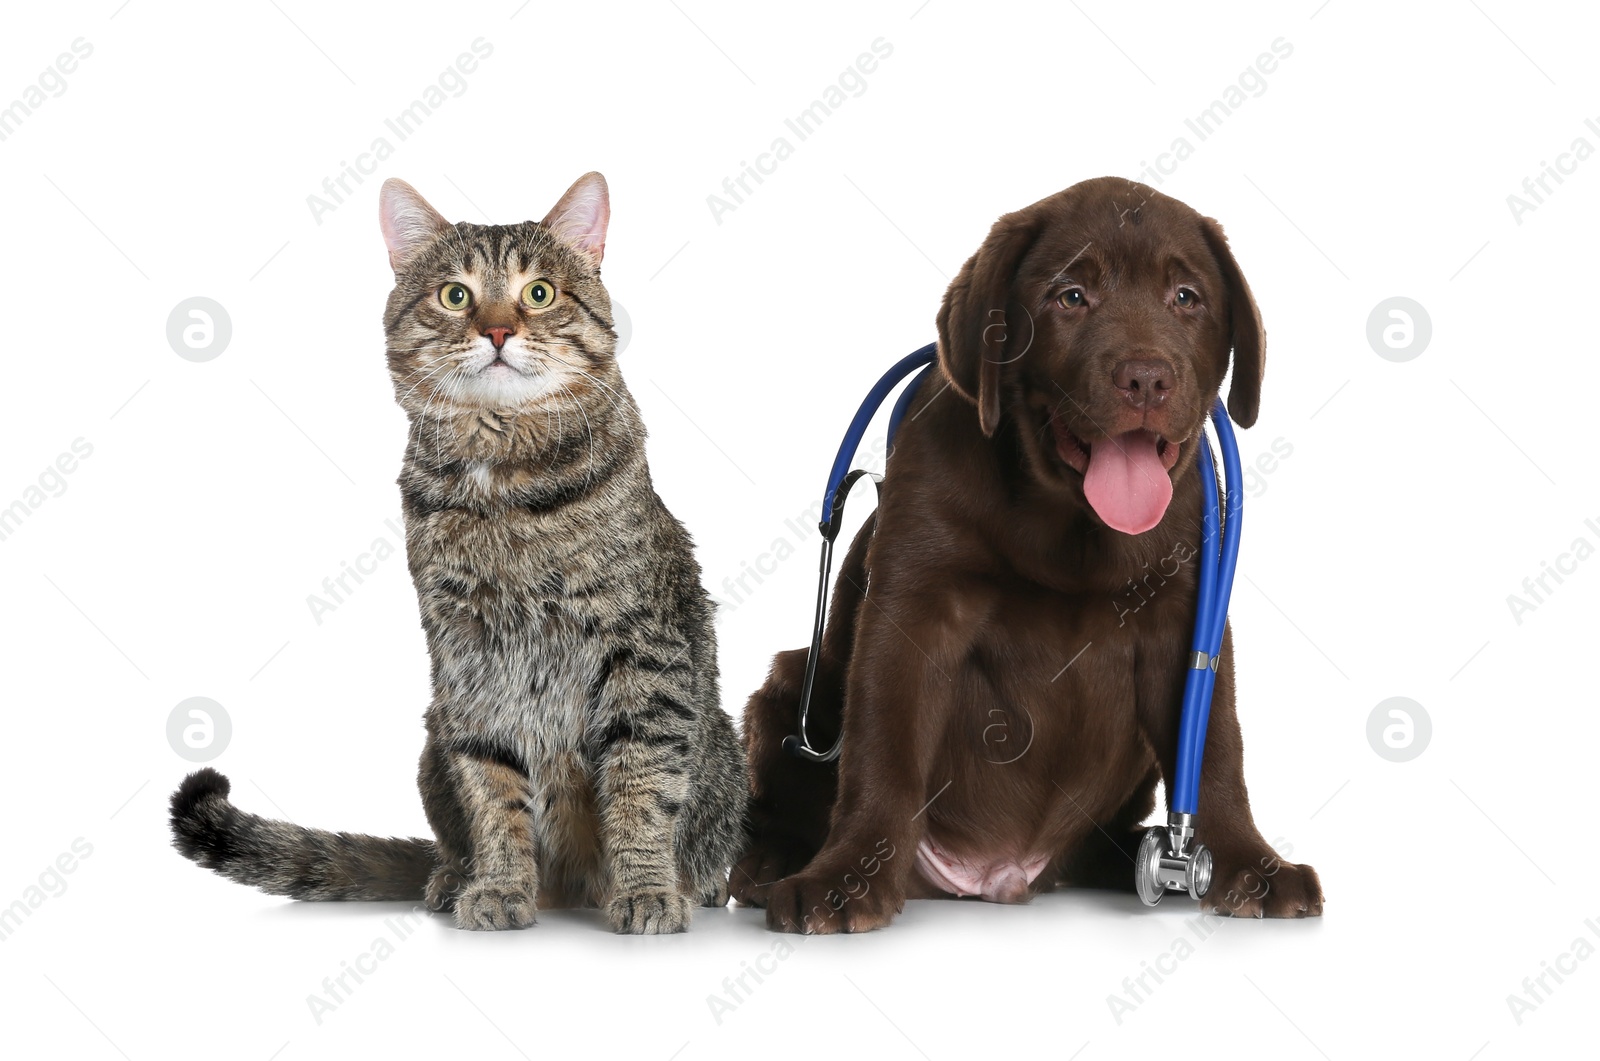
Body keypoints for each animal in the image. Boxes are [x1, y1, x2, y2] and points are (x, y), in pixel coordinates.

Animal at [172, 170, 745, 934]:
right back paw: (452, 876)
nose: (498, 329)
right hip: (432, 736)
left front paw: (648, 887)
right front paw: (499, 884)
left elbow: (641, 782)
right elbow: (493, 791)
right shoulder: (468, 660)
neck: (502, 476)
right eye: (455, 295)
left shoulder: (644, 654)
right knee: (454, 831)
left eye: (540, 292)